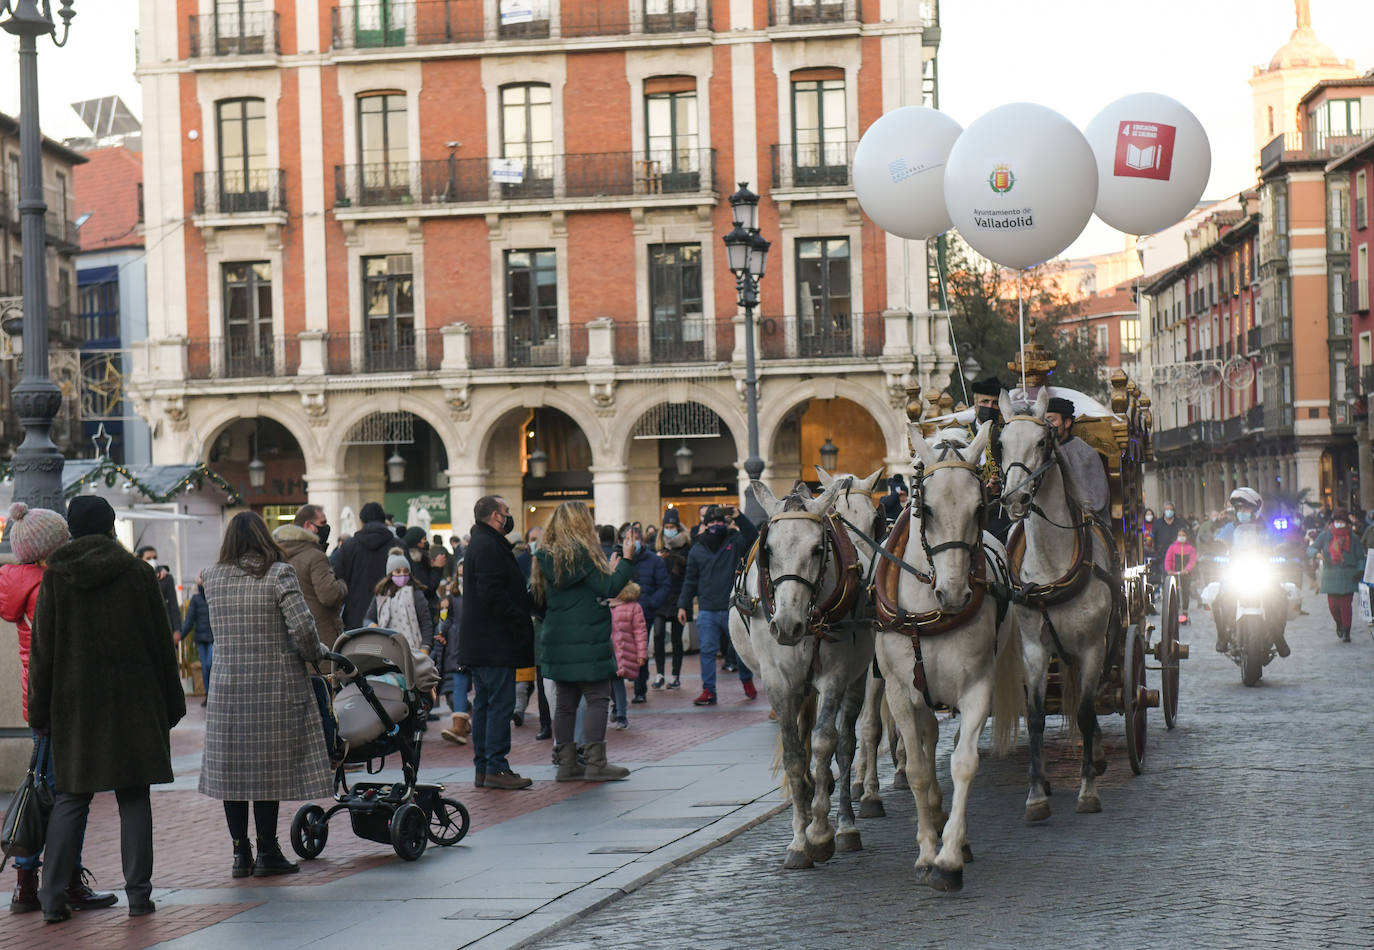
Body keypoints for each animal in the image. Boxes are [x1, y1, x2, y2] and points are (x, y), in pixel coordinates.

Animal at [736, 483, 873, 868]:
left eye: (817, 548)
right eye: (768, 550)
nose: (786, 625)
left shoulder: (835, 677)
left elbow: (826, 742)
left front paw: (820, 833)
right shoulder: (778, 683)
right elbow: (795, 756)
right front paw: (799, 841)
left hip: (857, 679)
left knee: (846, 743)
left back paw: (845, 826)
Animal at [873, 423, 1027, 890]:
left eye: (979, 508)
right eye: (926, 508)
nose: (956, 593)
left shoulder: (978, 686)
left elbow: (964, 762)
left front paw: (950, 856)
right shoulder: (901, 694)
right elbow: (919, 770)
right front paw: (926, 851)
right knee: (925, 740)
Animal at [1000, 390, 1115, 819]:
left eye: (1041, 442)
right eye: (1000, 443)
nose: (1015, 498)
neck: (1051, 565)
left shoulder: (1093, 646)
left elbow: (1084, 711)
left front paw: (1088, 790)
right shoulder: (1035, 648)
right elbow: (1034, 717)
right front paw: (1036, 794)